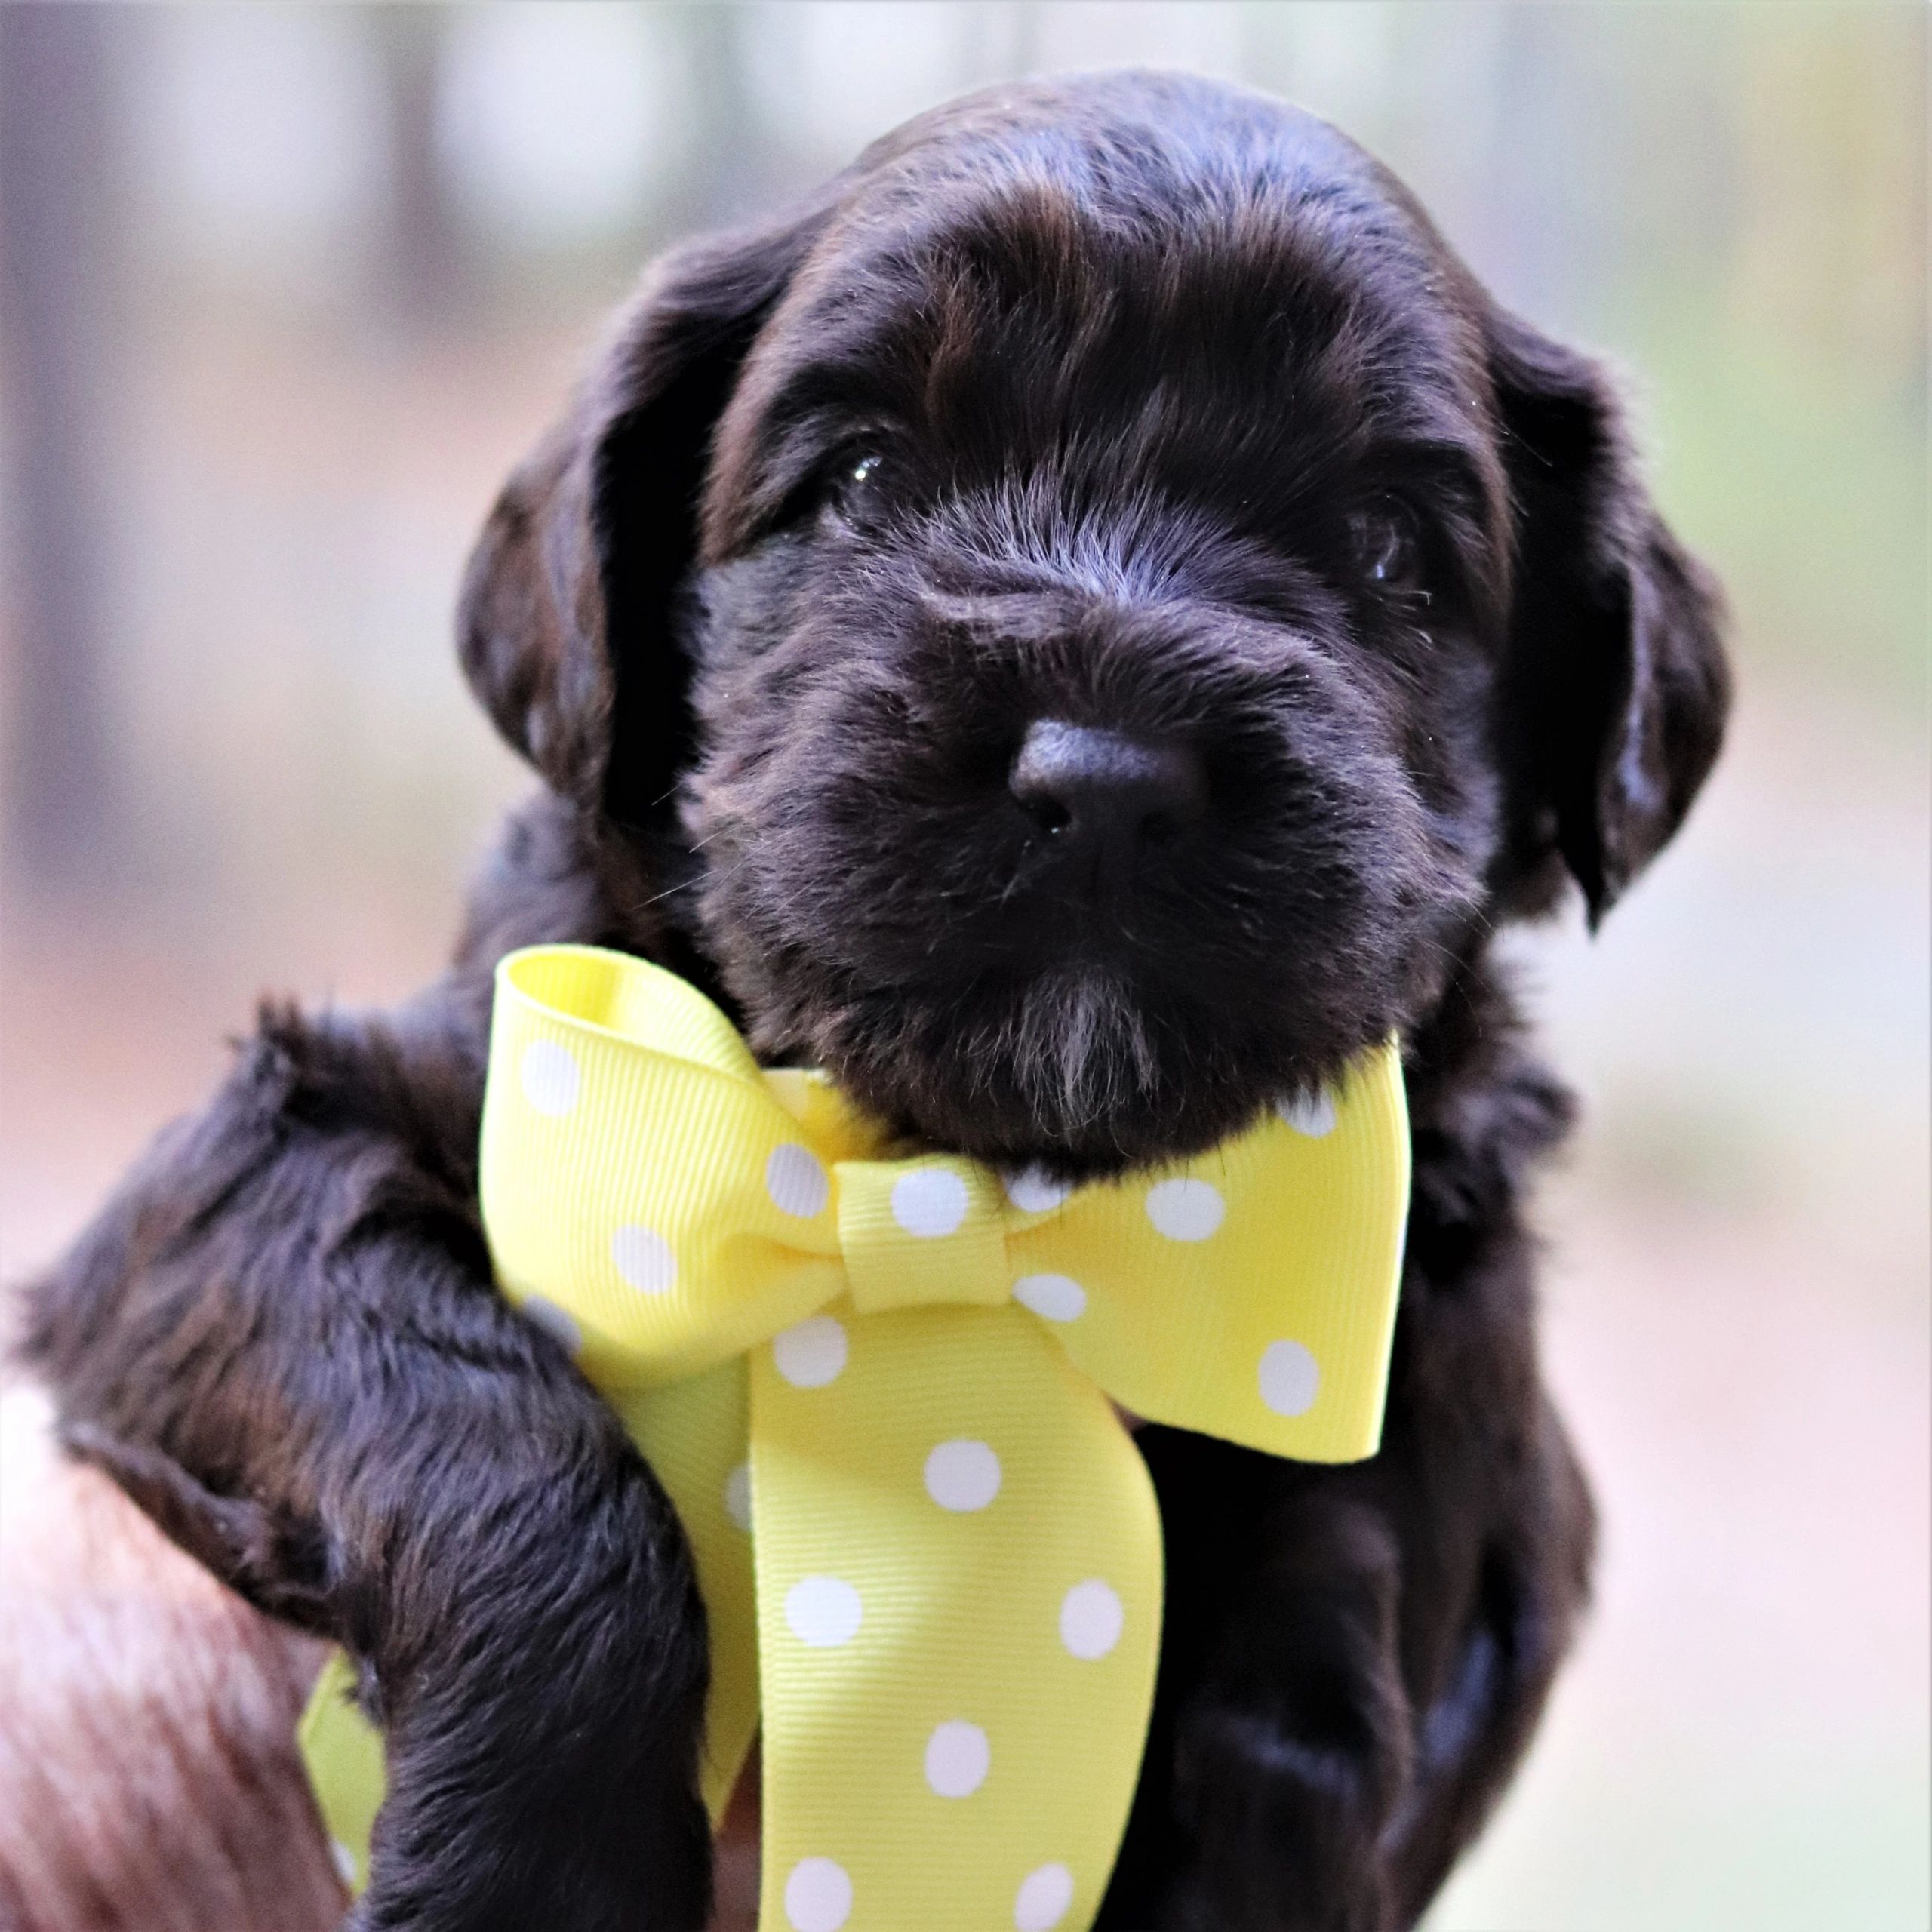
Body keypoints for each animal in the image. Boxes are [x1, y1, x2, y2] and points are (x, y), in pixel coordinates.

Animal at [23, 75, 1730, 1932]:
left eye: (1386, 550)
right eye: (861, 474)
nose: (1105, 779)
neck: (967, 1183)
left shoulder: (1462, 1368)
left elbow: (1337, 1655)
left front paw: (1278, 1759)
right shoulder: (260, 1164)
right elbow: (496, 1439)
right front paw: (524, 1870)